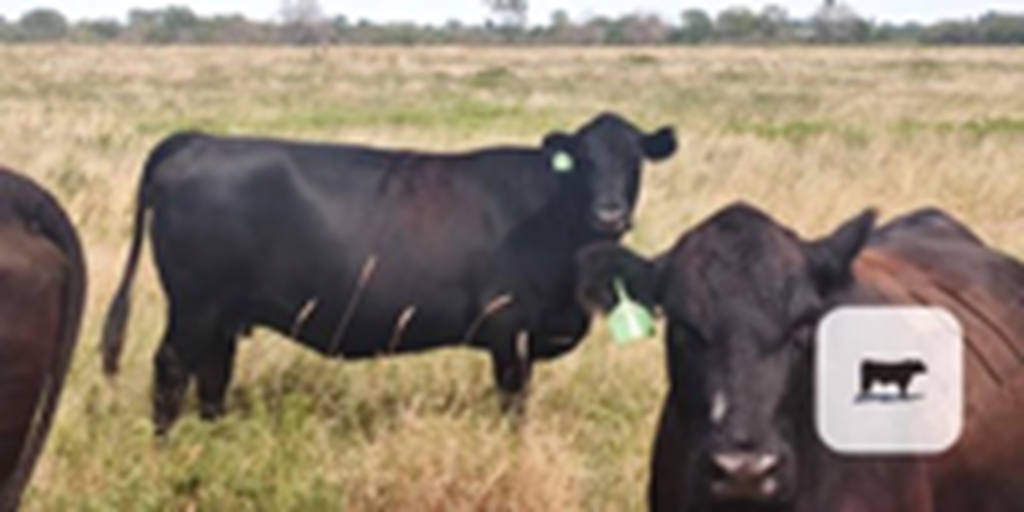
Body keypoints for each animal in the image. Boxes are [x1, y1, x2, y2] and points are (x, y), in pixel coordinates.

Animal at [101, 113, 679, 436]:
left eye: (634, 160)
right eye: (581, 160)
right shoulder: (508, 328)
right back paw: (166, 445)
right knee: (171, 369)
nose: (609, 214)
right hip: (195, 306)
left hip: (222, 313)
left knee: (213, 375)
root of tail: (199, 140)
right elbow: (513, 403)